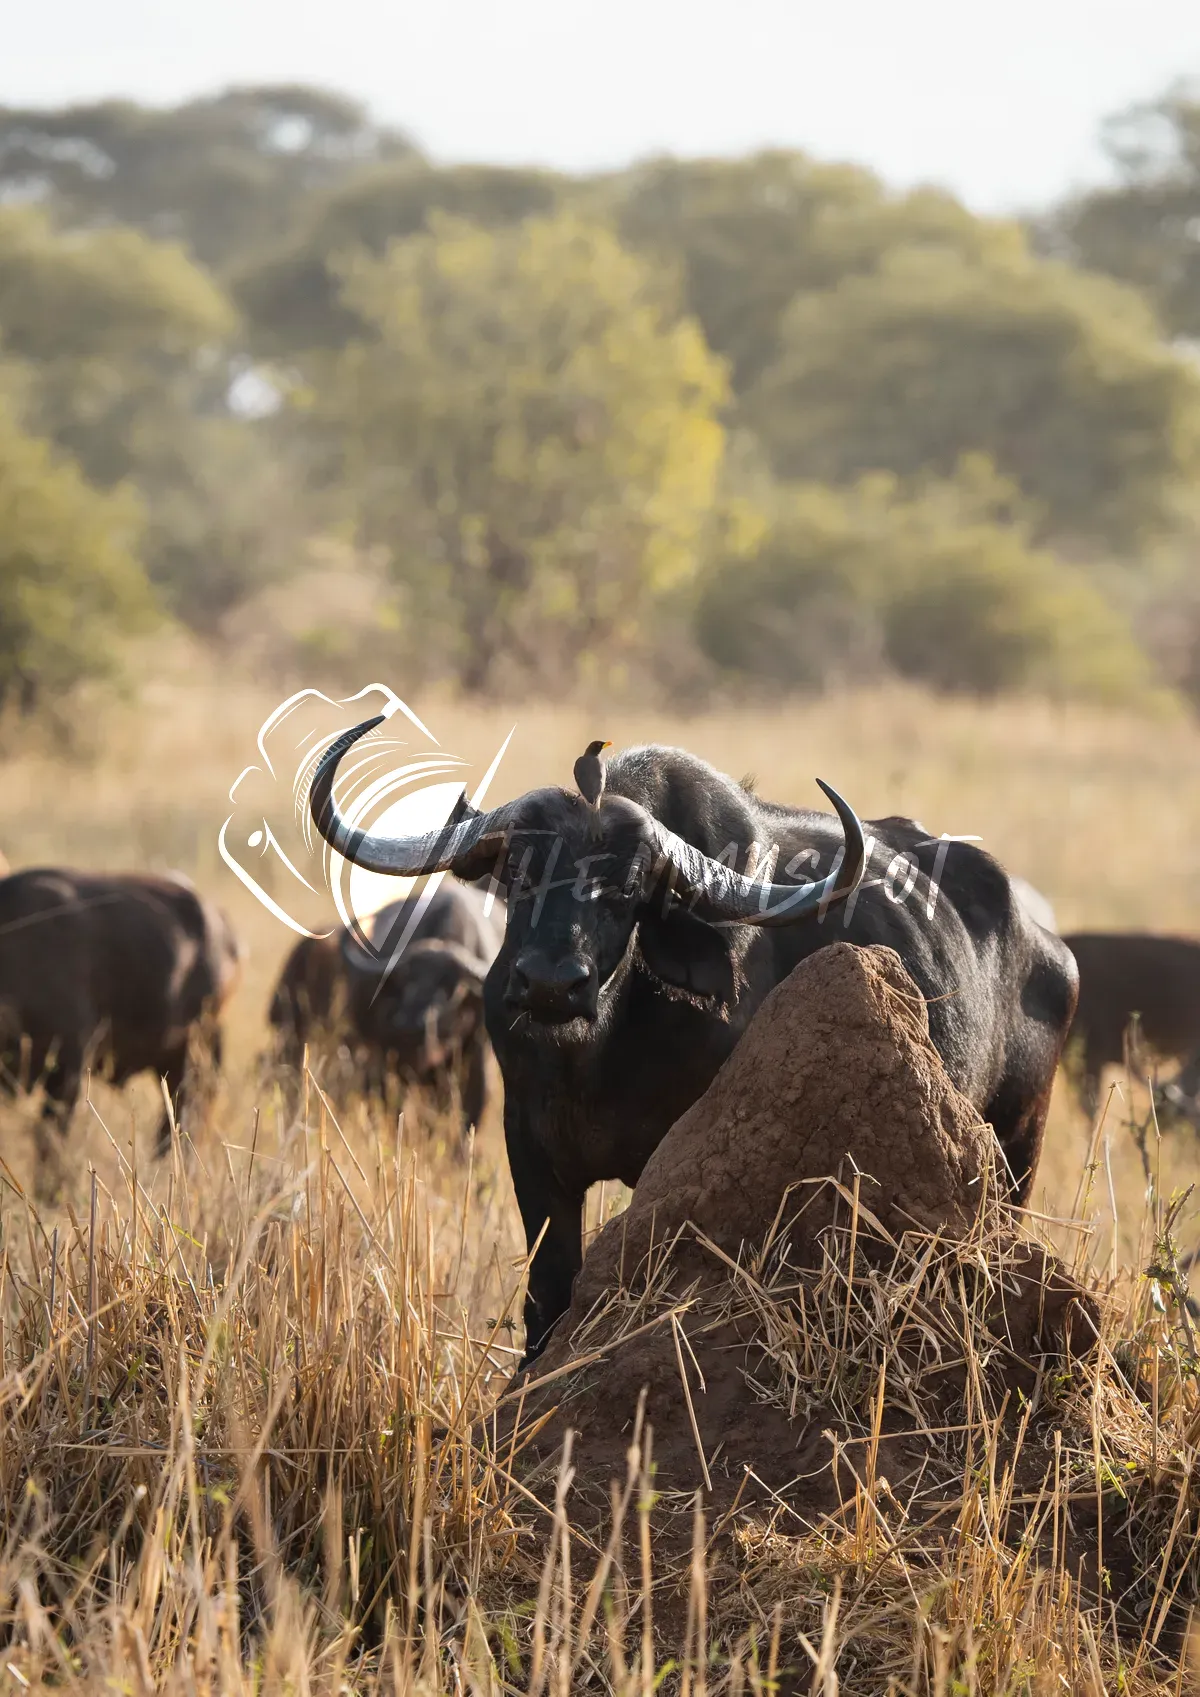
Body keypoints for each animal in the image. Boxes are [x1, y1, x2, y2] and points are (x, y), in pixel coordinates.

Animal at [311, 722, 1079, 1361]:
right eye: (522, 872)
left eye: (627, 887)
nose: (551, 984)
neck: (596, 1057)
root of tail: (1048, 949)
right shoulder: (527, 1149)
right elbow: (548, 1296)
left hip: (1019, 1149)